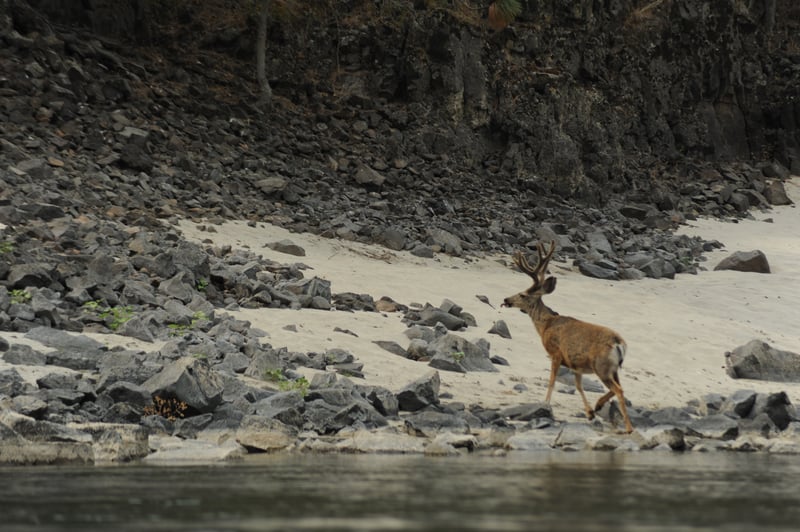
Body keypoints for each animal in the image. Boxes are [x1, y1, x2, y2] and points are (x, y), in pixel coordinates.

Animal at [502, 241, 634, 433]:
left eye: (522, 294)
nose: (506, 299)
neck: (546, 325)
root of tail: (619, 344)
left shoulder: (555, 353)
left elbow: (552, 381)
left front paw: (545, 404)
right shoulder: (576, 364)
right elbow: (578, 386)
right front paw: (589, 413)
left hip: (601, 366)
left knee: (619, 390)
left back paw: (628, 427)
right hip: (613, 369)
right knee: (620, 387)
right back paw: (599, 406)